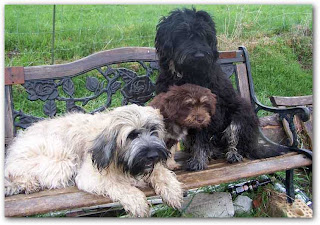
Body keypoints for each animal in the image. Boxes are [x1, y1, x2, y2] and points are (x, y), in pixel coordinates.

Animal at [5, 104, 184, 217]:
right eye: (132, 135)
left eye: (153, 131)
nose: (153, 155)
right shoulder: (89, 175)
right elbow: (115, 183)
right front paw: (136, 200)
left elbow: (161, 173)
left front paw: (172, 190)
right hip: (62, 159)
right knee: (16, 174)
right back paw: (28, 184)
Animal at [155, 8, 288, 171]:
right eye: (183, 33)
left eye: (205, 35)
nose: (200, 55)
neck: (188, 74)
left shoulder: (208, 111)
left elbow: (201, 138)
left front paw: (198, 160)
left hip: (242, 112)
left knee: (237, 140)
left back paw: (233, 154)